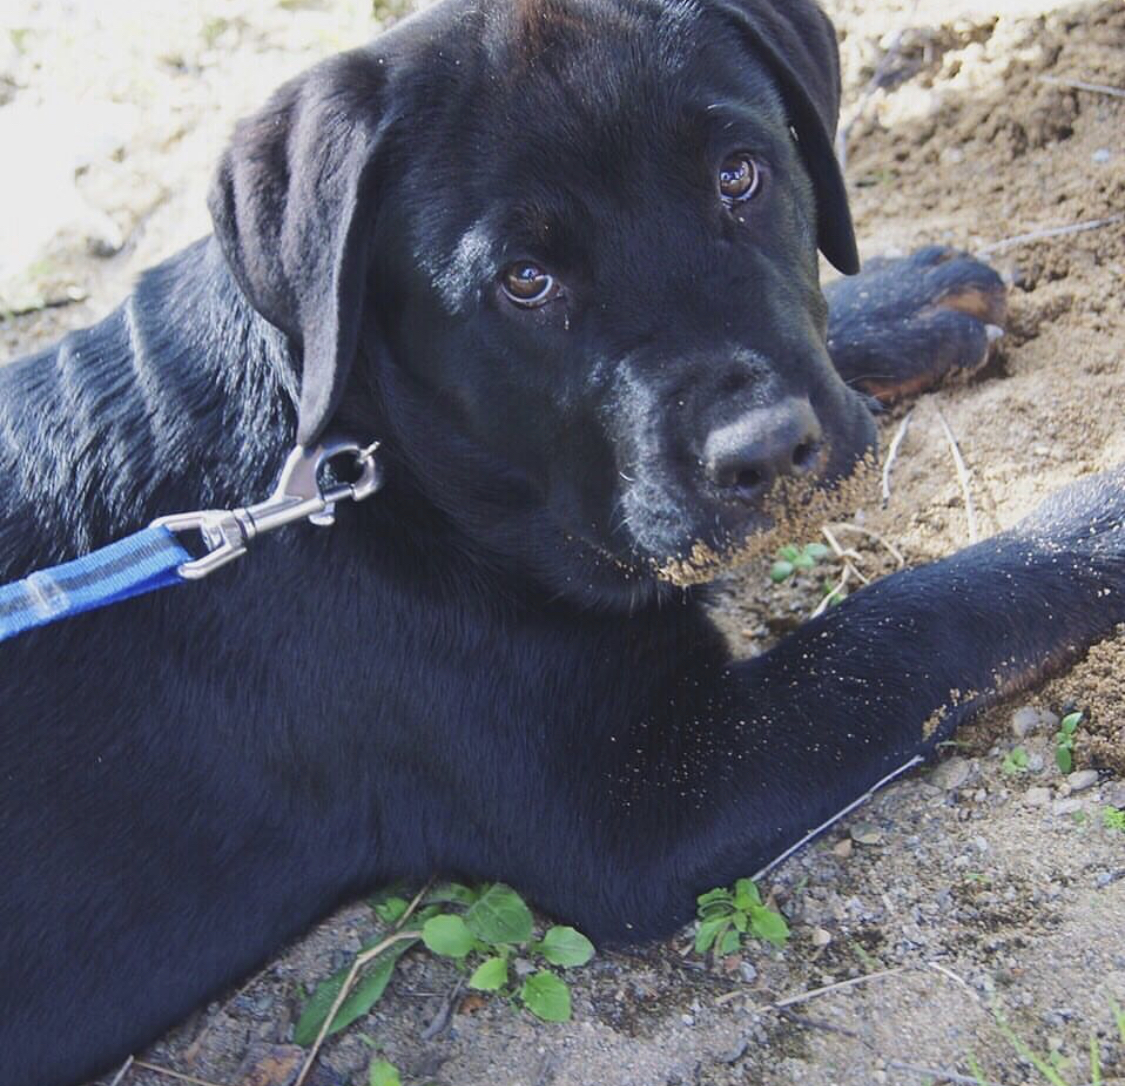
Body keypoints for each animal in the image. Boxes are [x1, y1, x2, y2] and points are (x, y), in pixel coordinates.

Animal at [2, 2, 1125, 1084]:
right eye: (525, 280)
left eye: (739, 175)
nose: (766, 452)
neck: (366, 459)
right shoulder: (640, 802)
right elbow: (902, 626)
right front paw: (1094, 523)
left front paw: (896, 301)